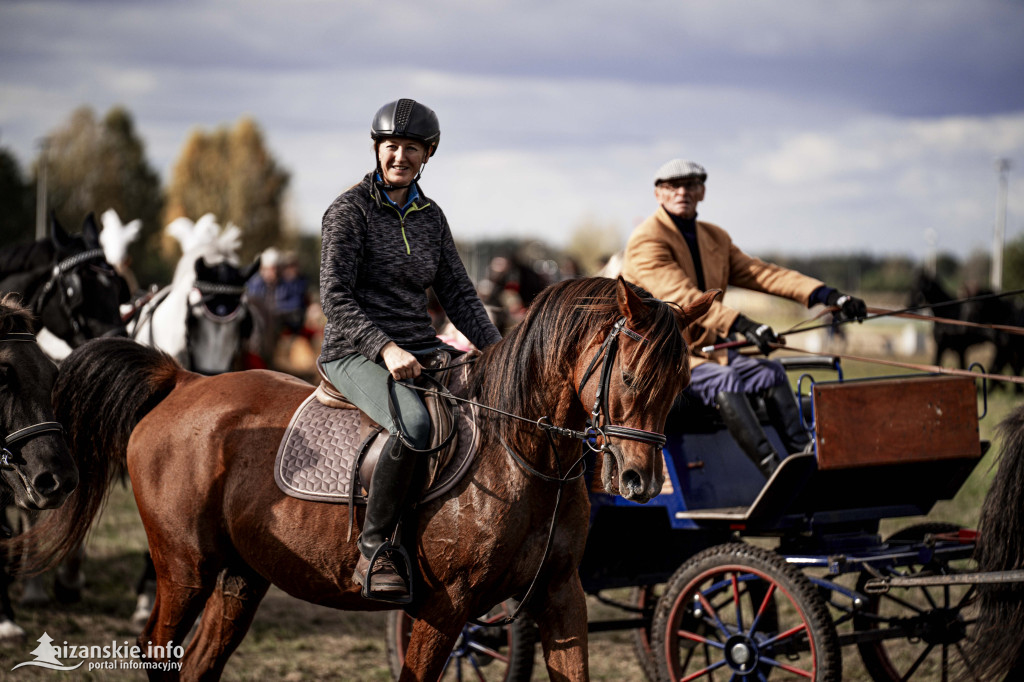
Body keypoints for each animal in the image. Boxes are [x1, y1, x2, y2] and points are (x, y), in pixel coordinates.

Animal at [34, 278, 720, 679]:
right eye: (630, 377)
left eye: (682, 382)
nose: (637, 481)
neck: (524, 457)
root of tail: (182, 381)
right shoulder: (444, 609)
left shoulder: (560, 598)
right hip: (185, 569)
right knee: (159, 652)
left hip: (239, 577)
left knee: (199, 663)